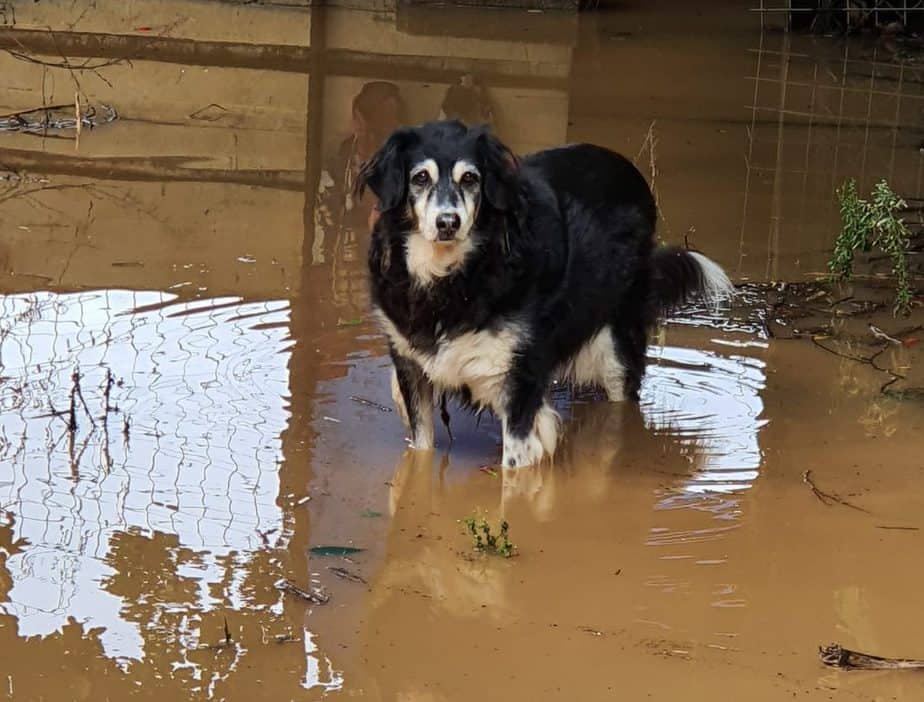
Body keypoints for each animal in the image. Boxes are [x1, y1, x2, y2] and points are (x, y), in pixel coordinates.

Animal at [358, 122, 732, 468]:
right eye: (420, 177)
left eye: (471, 179)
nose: (448, 223)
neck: (450, 277)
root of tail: (628, 169)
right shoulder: (410, 365)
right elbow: (419, 444)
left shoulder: (520, 379)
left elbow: (515, 460)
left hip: (616, 345)